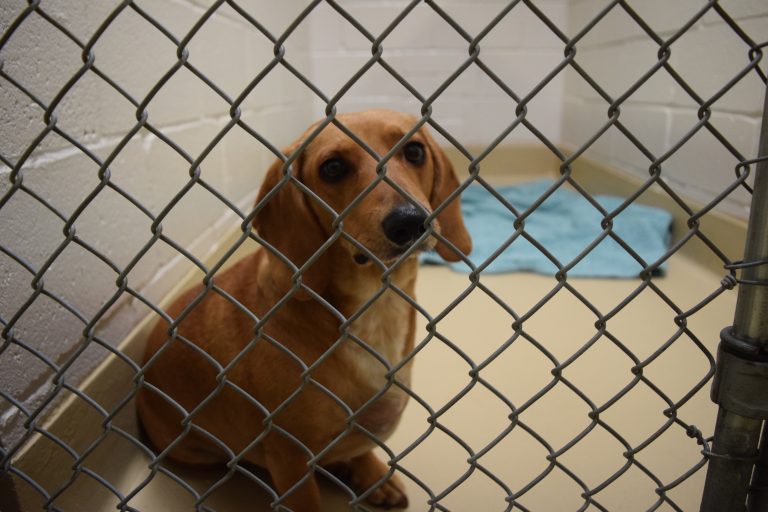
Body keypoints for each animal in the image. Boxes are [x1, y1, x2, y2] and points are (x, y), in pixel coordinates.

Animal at [139, 110, 474, 510]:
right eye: (332, 168)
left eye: (414, 151)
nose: (408, 221)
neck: (375, 307)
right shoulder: (289, 455)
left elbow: (360, 446)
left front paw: (369, 470)